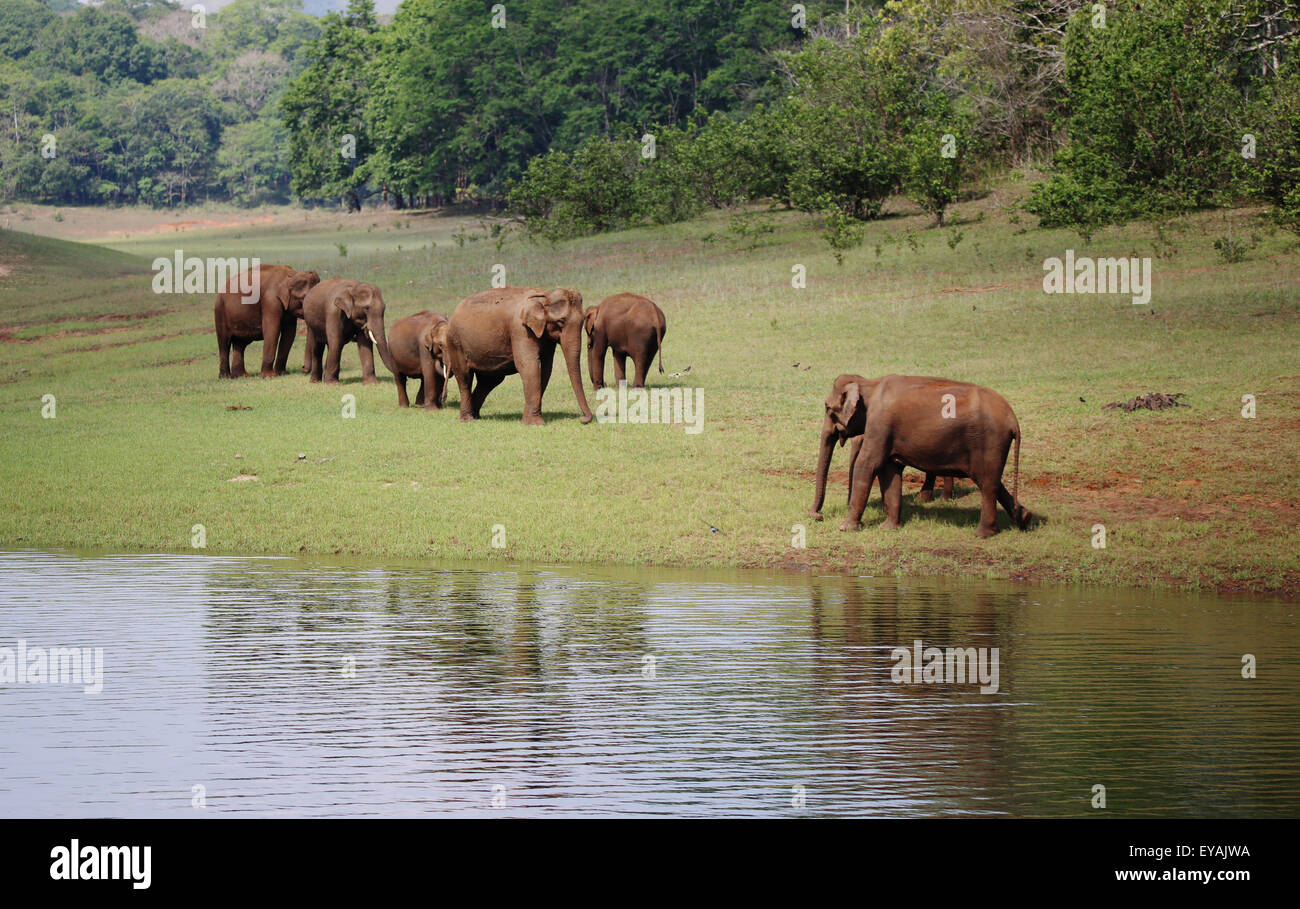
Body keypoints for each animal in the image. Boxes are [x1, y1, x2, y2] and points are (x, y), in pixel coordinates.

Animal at [439, 284, 595, 426]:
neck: (544, 295)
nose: (583, 419)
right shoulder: (520, 330)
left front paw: (527, 420)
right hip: (455, 343)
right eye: (561, 321)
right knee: (465, 377)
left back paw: (476, 416)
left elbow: (545, 370)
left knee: (489, 381)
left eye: (583, 320)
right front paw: (536, 424)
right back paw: (467, 419)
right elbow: (529, 365)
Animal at [837, 374, 1029, 535]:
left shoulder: (879, 425)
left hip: (990, 441)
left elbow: (867, 464)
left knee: (988, 485)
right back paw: (1024, 518)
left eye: (830, 409)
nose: (820, 516)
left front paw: (846, 528)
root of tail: (1013, 420)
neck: (870, 384)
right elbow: (890, 469)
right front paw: (889, 528)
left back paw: (983, 534)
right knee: (991, 481)